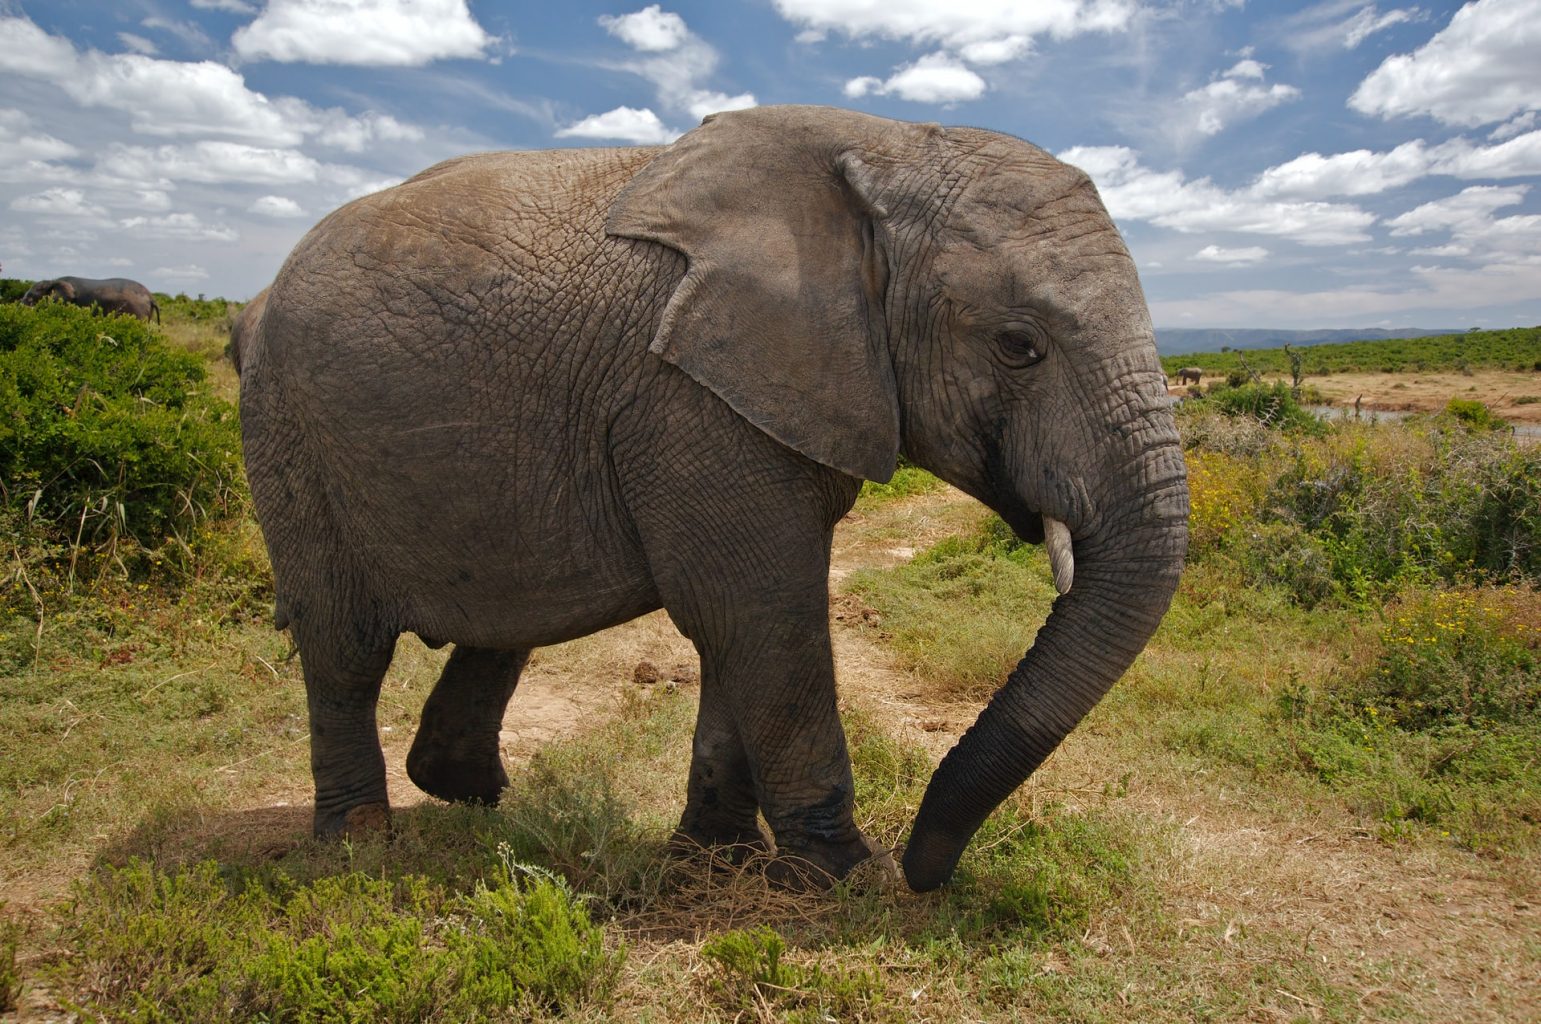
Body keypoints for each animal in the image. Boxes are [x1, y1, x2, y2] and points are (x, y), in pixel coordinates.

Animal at [237, 100, 1189, 893]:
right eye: (1018, 346)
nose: (926, 873)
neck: (889, 148)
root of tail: (253, 303)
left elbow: (742, 622)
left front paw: (714, 861)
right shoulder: (690, 395)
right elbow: (762, 612)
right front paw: (841, 877)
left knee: (502, 619)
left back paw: (468, 796)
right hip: (289, 432)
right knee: (344, 647)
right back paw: (357, 846)